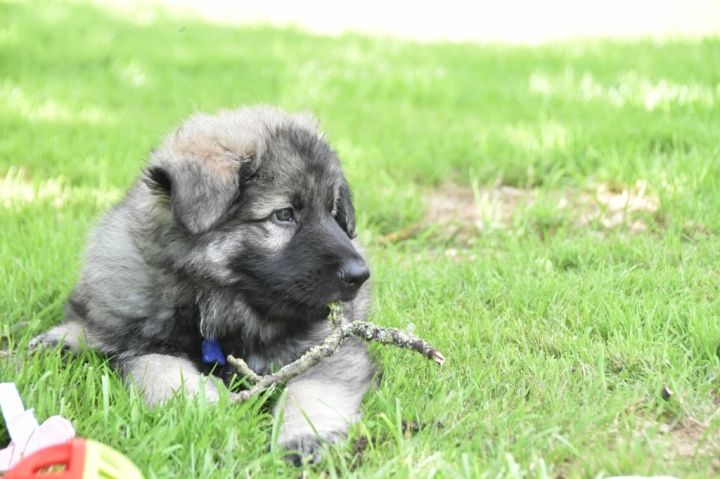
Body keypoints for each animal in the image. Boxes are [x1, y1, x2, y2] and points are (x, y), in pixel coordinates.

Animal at [30, 106, 374, 464]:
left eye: (333, 212)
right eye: (283, 214)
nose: (360, 275)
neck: (221, 306)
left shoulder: (332, 349)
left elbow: (311, 390)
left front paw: (305, 436)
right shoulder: (140, 348)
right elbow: (164, 370)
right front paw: (208, 409)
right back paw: (63, 338)